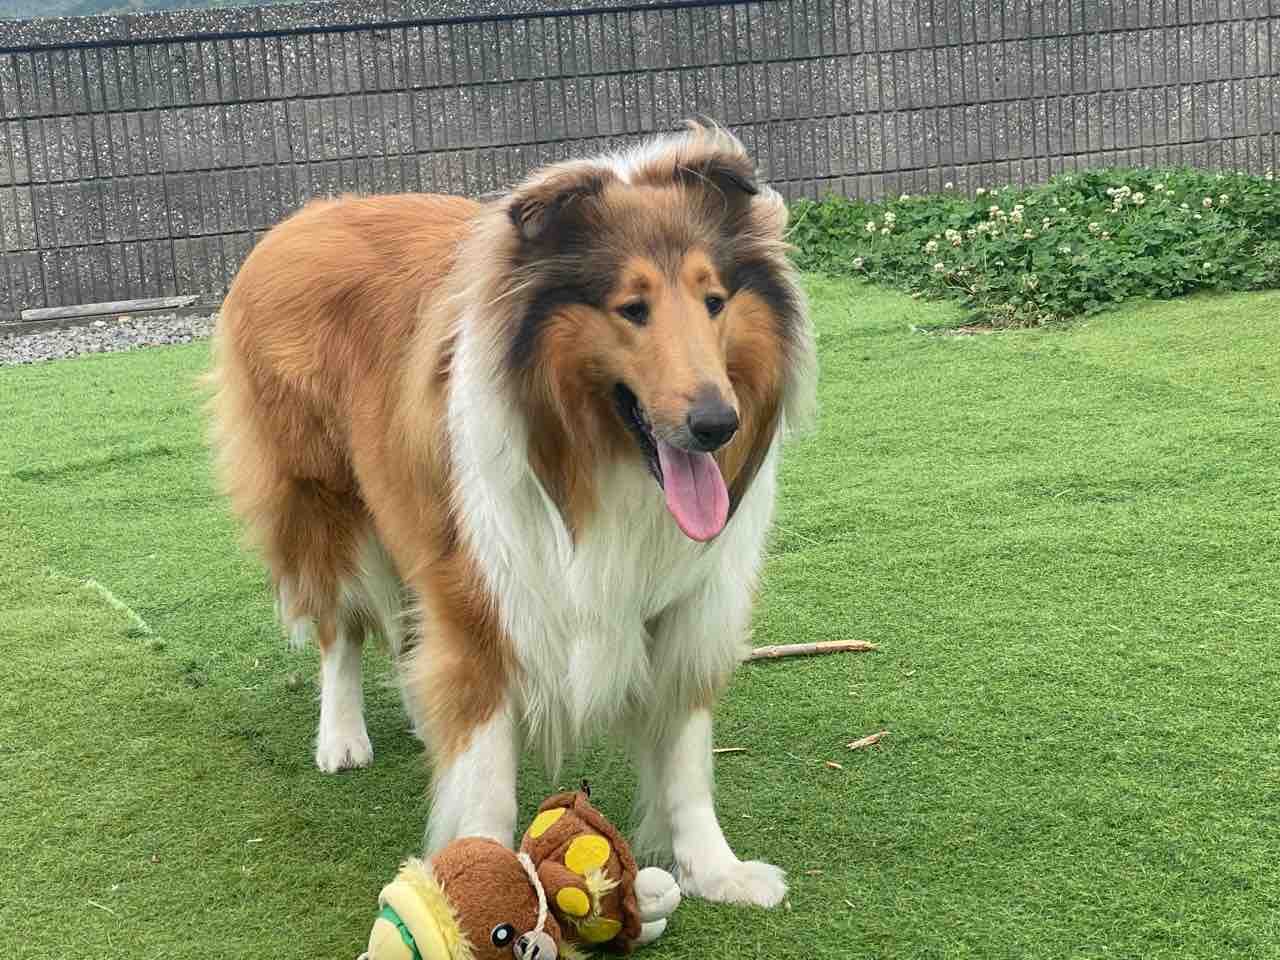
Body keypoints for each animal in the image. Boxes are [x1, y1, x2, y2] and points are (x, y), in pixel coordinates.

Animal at [208, 123, 816, 907]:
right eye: (632, 307)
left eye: (714, 300)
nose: (717, 424)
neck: (596, 465)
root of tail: (306, 213)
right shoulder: (485, 585)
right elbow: (487, 765)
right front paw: (481, 877)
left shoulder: (689, 602)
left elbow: (684, 753)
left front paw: (717, 870)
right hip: (321, 501)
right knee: (340, 628)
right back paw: (341, 736)